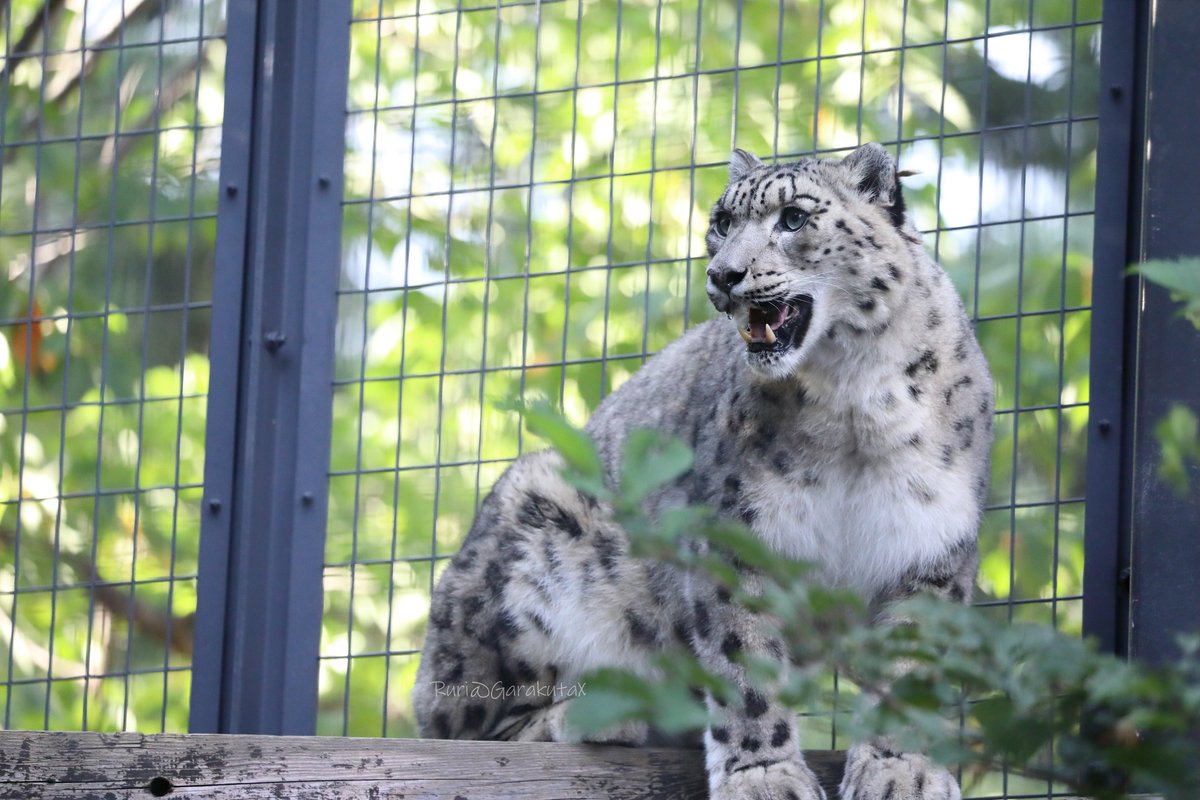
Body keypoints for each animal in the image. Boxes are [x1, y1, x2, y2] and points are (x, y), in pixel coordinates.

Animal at [412, 142, 993, 800]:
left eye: (794, 217)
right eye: (721, 222)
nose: (723, 275)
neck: (854, 401)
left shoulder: (929, 539)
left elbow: (910, 668)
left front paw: (902, 770)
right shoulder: (736, 536)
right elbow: (746, 665)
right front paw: (764, 777)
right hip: (529, 534)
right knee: (465, 721)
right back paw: (598, 716)